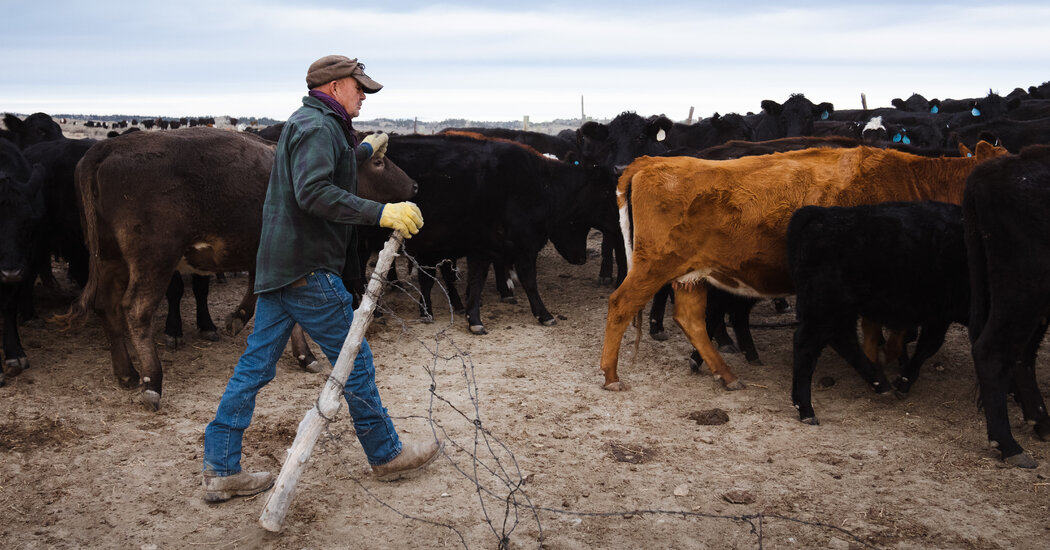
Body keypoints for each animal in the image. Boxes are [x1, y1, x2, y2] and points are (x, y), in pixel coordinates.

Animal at [54, 128, 413, 407]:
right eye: (379, 162)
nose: (414, 186)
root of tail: (106, 148)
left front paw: (259, 330)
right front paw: (296, 349)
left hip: (110, 259)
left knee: (107, 307)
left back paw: (126, 372)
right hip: (154, 260)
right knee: (135, 311)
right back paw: (151, 381)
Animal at [384, 133, 613, 335]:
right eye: (605, 193)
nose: (582, 258)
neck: (541, 185)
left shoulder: (483, 247)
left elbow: (477, 281)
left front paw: (473, 318)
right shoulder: (523, 246)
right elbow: (529, 280)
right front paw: (544, 314)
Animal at [604, 141, 1012, 390]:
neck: (914, 183)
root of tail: (652, 162)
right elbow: (884, 333)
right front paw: (878, 367)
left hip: (691, 275)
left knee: (690, 319)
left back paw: (726, 374)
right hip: (652, 267)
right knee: (621, 305)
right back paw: (610, 374)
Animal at [789, 201, 965, 426]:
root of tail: (822, 215)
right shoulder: (941, 315)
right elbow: (928, 346)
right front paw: (904, 381)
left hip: (840, 311)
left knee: (844, 340)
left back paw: (879, 382)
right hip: (824, 310)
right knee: (807, 345)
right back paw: (806, 409)